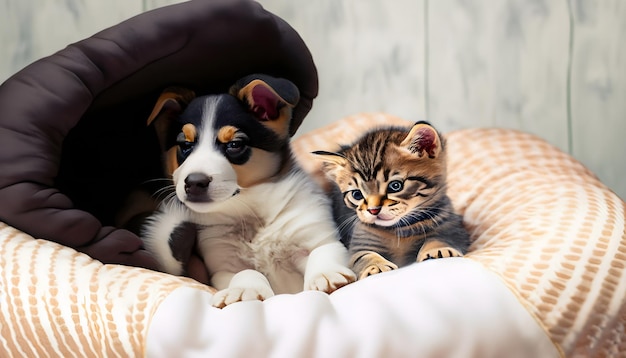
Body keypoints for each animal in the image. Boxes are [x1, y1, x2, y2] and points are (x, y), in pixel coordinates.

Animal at [143, 73, 356, 308]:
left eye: (235, 144)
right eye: (185, 145)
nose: (194, 183)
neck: (251, 212)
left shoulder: (319, 236)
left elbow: (322, 252)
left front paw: (325, 275)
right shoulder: (223, 266)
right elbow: (244, 273)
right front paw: (245, 290)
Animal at [314, 121, 466, 278]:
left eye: (395, 186)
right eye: (357, 194)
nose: (373, 210)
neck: (401, 228)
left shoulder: (455, 231)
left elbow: (440, 238)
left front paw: (438, 249)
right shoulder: (360, 245)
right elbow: (363, 256)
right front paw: (375, 266)